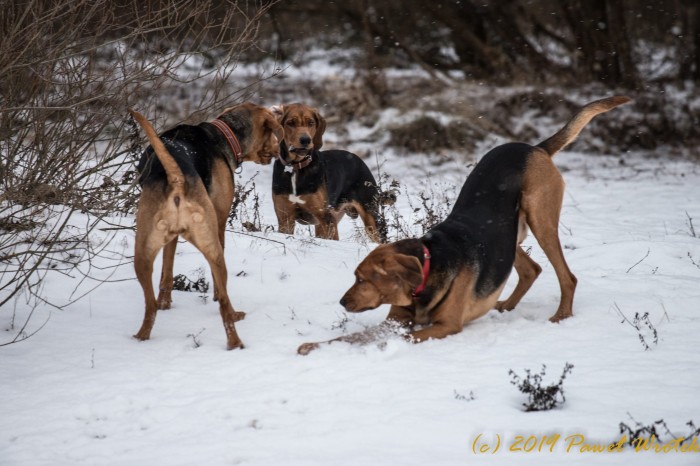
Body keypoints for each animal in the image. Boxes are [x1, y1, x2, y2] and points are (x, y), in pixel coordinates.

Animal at [130, 103, 284, 350]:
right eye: (272, 133)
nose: (279, 149)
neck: (223, 133)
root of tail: (176, 179)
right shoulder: (220, 222)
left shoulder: (170, 240)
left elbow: (166, 272)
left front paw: (166, 302)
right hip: (214, 247)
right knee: (223, 300)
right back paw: (235, 335)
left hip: (143, 253)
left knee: (150, 305)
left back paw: (141, 336)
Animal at [270, 103, 392, 242]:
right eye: (290, 123)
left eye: (311, 123)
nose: (305, 140)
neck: (295, 168)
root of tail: (359, 160)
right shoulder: (285, 219)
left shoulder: (325, 218)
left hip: (371, 218)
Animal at [298, 96, 632, 354]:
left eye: (363, 279)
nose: (342, 301)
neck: (428, 269)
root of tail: (534, 148)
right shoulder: (394, 320)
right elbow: (349, 337)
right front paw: (314, 346)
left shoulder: (445, 326)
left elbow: (400, 338)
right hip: (507, 235)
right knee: (531, 269)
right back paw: (506, 305)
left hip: (541, 220)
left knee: (567, 277)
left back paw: (561, 316)